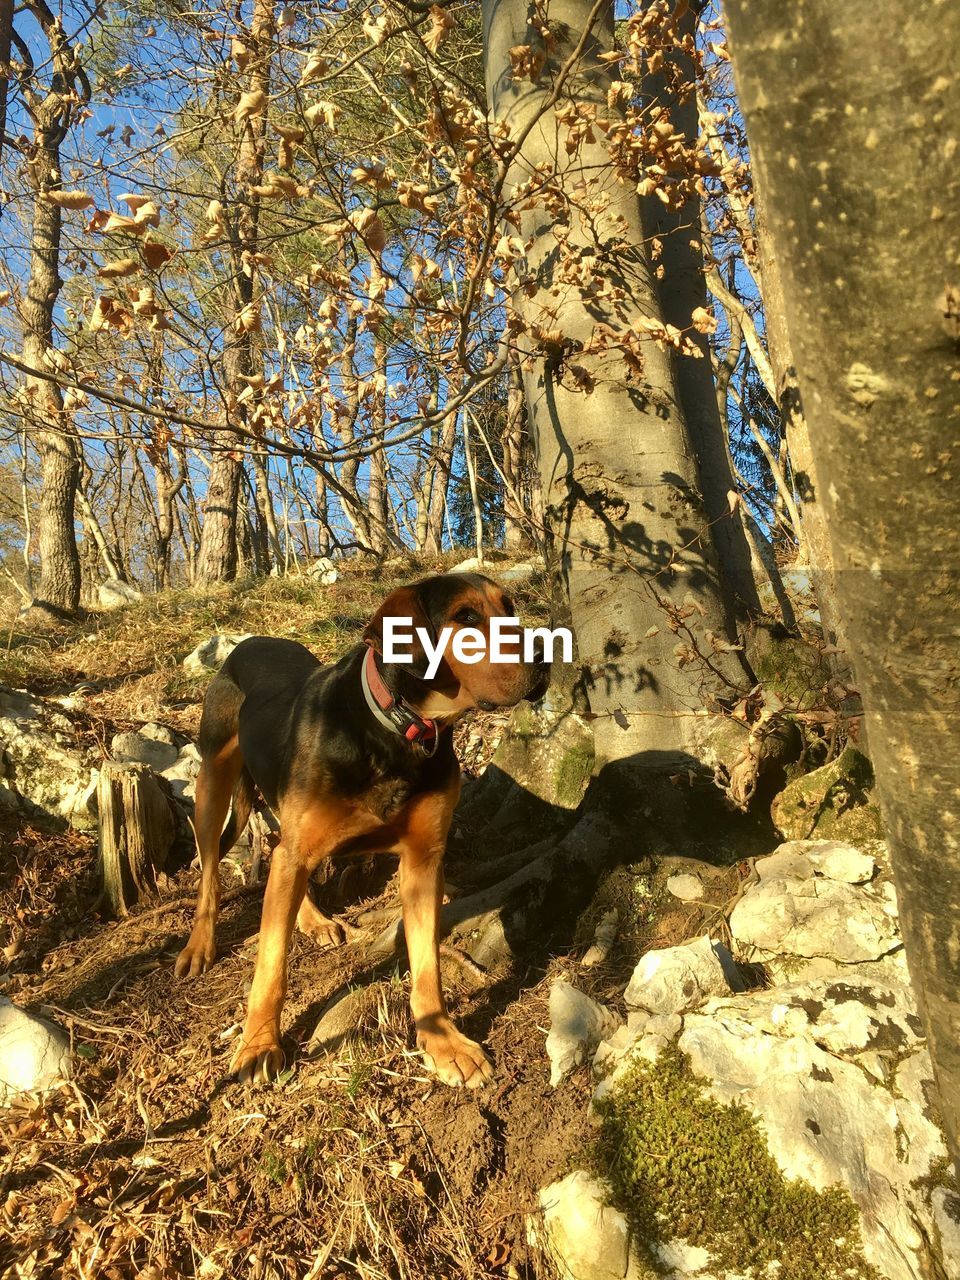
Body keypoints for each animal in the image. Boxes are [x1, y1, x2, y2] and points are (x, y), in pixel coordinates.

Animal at [174, 576, 547, 1085]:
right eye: (465, 617)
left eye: (509, 607)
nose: (547, 655)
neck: (396, 730)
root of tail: (246, 643)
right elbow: (271, 964)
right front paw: (258, 1044)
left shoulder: (423, 859)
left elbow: (427, 963)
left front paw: (442, 1042)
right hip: (213, 781)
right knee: (213, 869)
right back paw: (200, 945)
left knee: (276, 845)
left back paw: (312, 918)